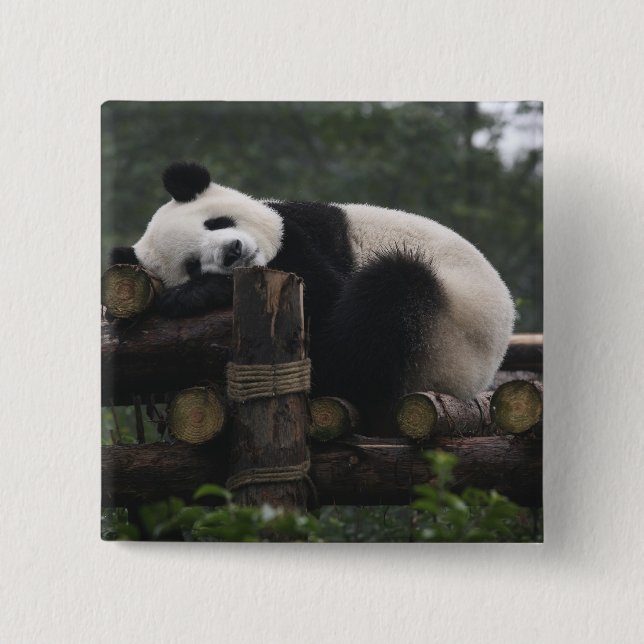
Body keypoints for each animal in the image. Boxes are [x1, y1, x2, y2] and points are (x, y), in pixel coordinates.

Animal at [111, 161, 515, 432]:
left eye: (216, 222)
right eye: (193, 265)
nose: (232, 252)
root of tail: (476, 379)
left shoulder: (302, 233)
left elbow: (326, 297)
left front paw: (190, 297)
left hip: (448, 329)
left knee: (388, 296)